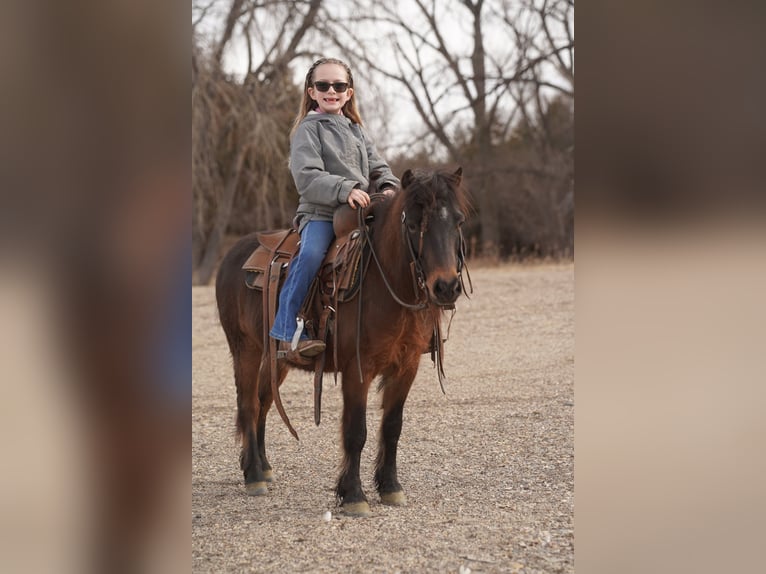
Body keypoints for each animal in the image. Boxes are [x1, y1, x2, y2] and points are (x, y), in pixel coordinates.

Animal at [215, 167, 471, 516]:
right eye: (413, 224)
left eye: (457, 220)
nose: (445, 287)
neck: (385, 282)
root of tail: (232, 255)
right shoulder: (356, 369)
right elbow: (355, 430)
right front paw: (353, 495)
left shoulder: (406, 367)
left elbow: (392, 426)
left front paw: (390, 487)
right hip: (245, 351)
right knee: (248, 404)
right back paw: (253, 475)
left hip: (276, 359)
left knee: (263, 403)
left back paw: (264, 468)